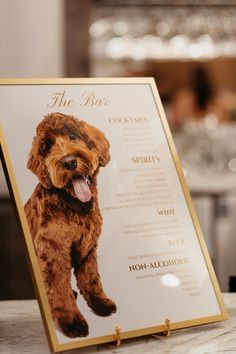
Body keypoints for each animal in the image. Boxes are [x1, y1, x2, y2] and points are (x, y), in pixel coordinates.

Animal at [24, 112, 116, 338]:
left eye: (73, 135)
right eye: (47, 146)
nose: (69, 162)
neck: (74, 206)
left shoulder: (88, 247)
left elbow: (91, 278)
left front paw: (100, 302)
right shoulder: (53, 250)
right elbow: (59, 288)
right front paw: (71, 321)